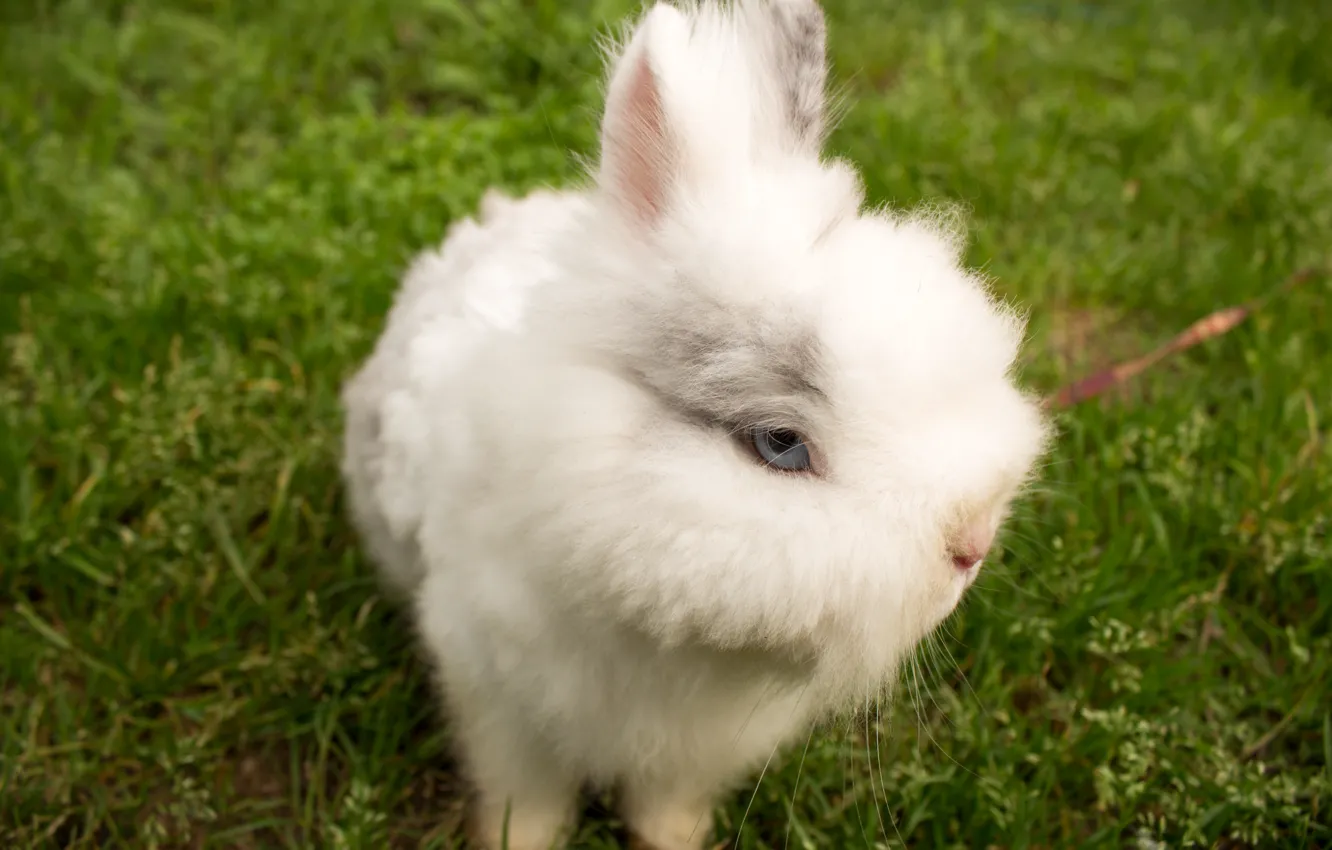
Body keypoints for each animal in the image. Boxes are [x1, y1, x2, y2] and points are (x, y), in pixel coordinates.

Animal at [339, 1, 1052, 848]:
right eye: (780, 443)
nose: (972, 544)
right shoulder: (501, 706)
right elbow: (528, 801)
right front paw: (517, 842)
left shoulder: (694, 748)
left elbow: (664, 802)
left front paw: (674, 839)